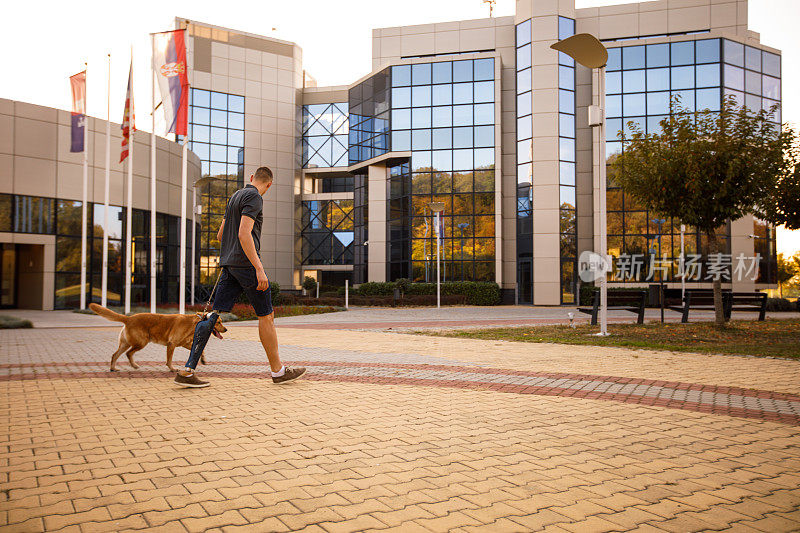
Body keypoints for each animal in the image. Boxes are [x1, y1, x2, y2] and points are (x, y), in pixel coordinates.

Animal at [90, 304, 228, 370]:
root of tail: (128, 318)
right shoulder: (172, 344)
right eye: (219, 322)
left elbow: (201, 350)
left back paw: (114, 368)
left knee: (115, 355)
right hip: (141, 342)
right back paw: (133, 365)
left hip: (126, 343)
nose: (226, 329)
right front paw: (172, 368)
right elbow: (169, 359)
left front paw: (203, 359)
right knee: (128, 353)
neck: (196, 322)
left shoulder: (185, 344)